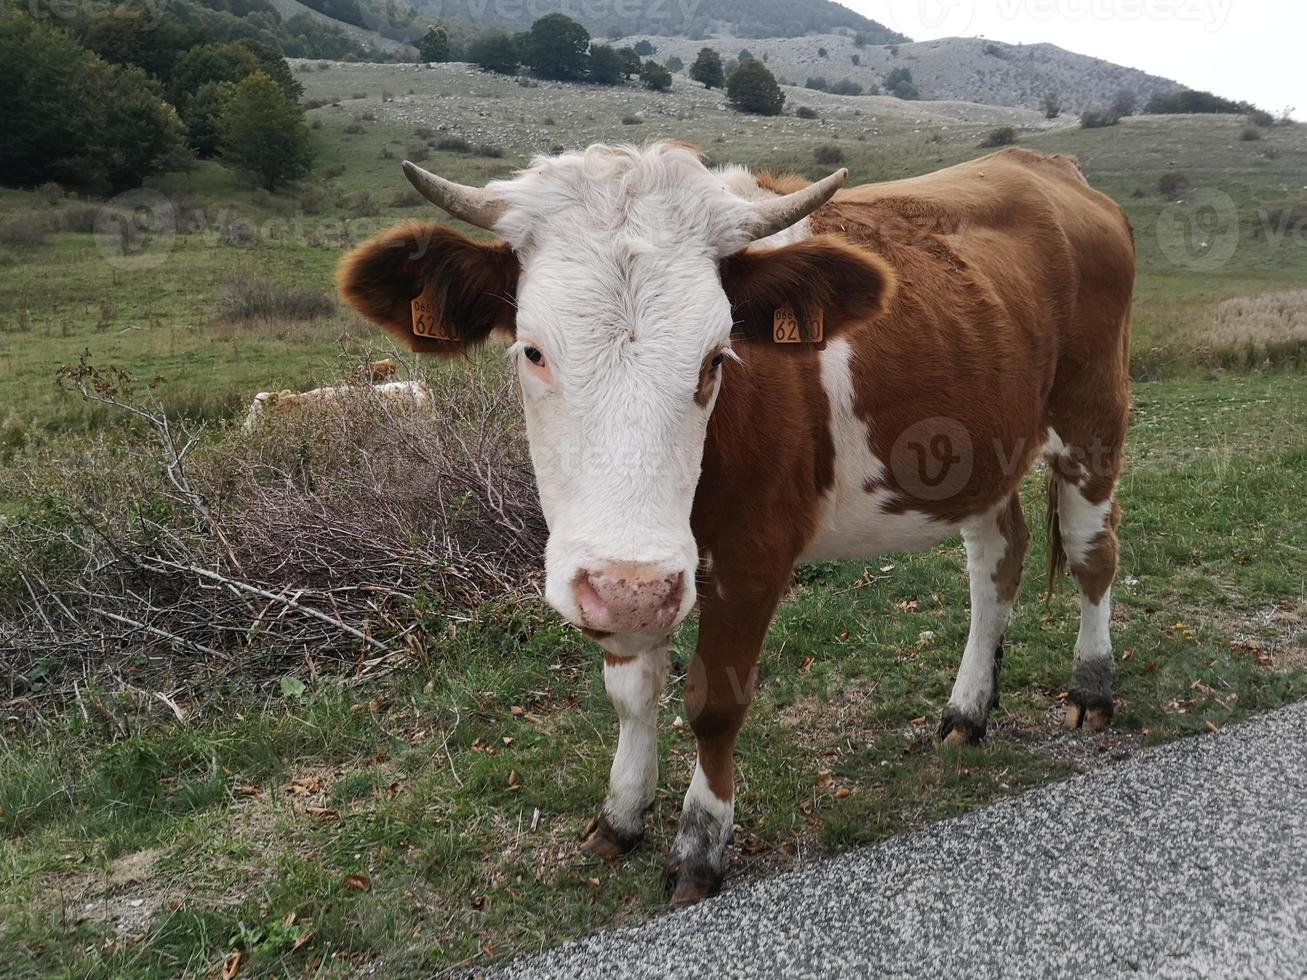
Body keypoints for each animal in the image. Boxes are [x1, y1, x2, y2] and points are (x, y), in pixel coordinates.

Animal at [337, 141, 1134, 909]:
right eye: (531, 351)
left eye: (715, 357)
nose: (626, 588)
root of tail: (1044, 167)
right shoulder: (634, 573)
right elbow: (631, 693)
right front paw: (621, 815)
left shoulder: (751, 560)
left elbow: (713, 704)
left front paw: (700, 845)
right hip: (982, 452)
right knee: (996, 561)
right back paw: (968, 709)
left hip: (1093, 419)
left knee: (1092, 554)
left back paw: (1091, 688)